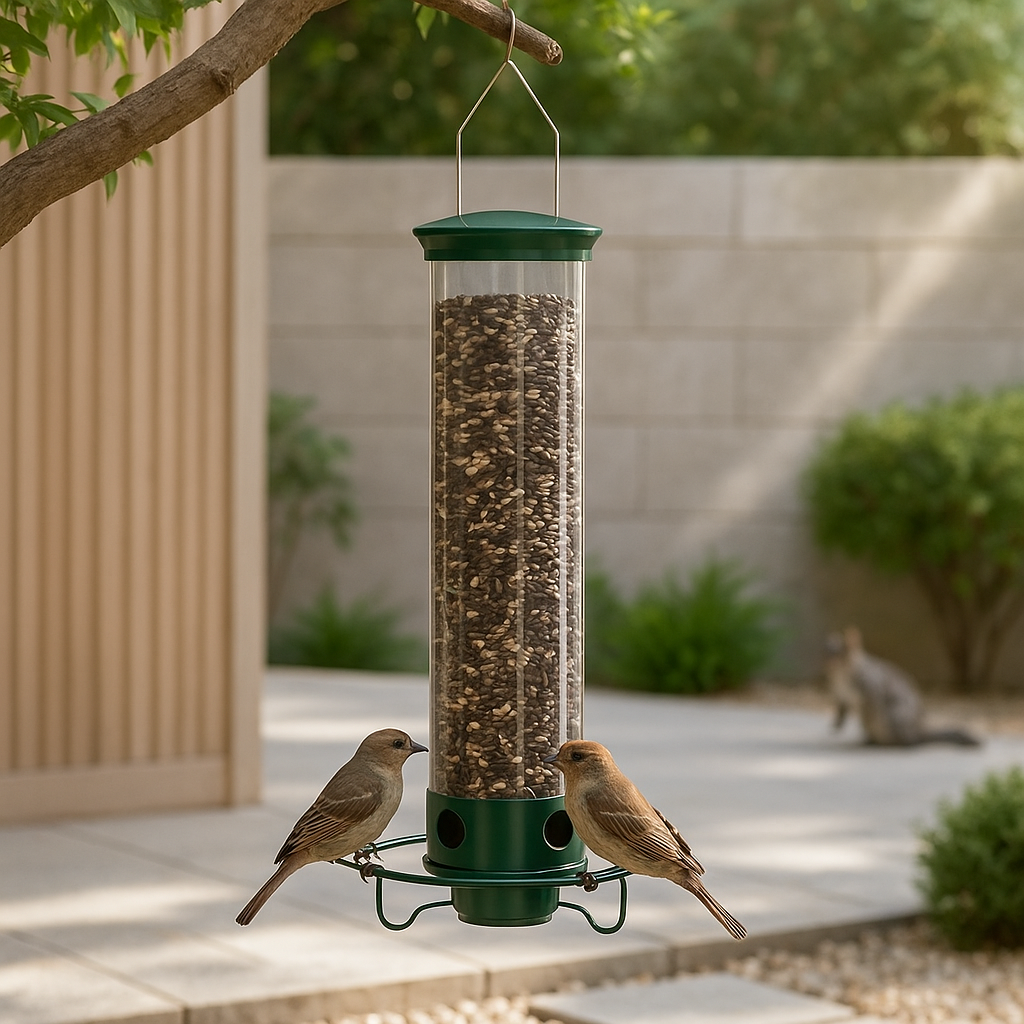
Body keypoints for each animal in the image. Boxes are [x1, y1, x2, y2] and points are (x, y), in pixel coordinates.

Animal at [824, 626, 981, 748]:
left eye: (841, 654)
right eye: (826, 651)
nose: (827, 662)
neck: (842, 677)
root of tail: (917, 731)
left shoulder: (870, 687)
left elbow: (869, 708)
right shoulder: (840, 694)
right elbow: (841, 712)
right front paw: (836, 725)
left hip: (894, 719)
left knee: (906, 741)